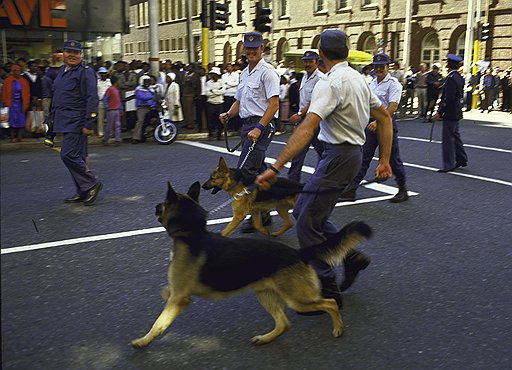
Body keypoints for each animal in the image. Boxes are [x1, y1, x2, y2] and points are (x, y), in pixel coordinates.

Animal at [132, 182, 372, 346]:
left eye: (163, 205)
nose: (155, 206)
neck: (192, 233)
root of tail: (298, 252)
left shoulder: (179, 297)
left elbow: (159, 323)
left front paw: (143, 341)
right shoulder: (178, 294)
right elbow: (166, 295)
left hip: (296, 299)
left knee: (329, 303)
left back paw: (338, 328)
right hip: (265, 294)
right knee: (284, 323)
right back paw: (265, 338)